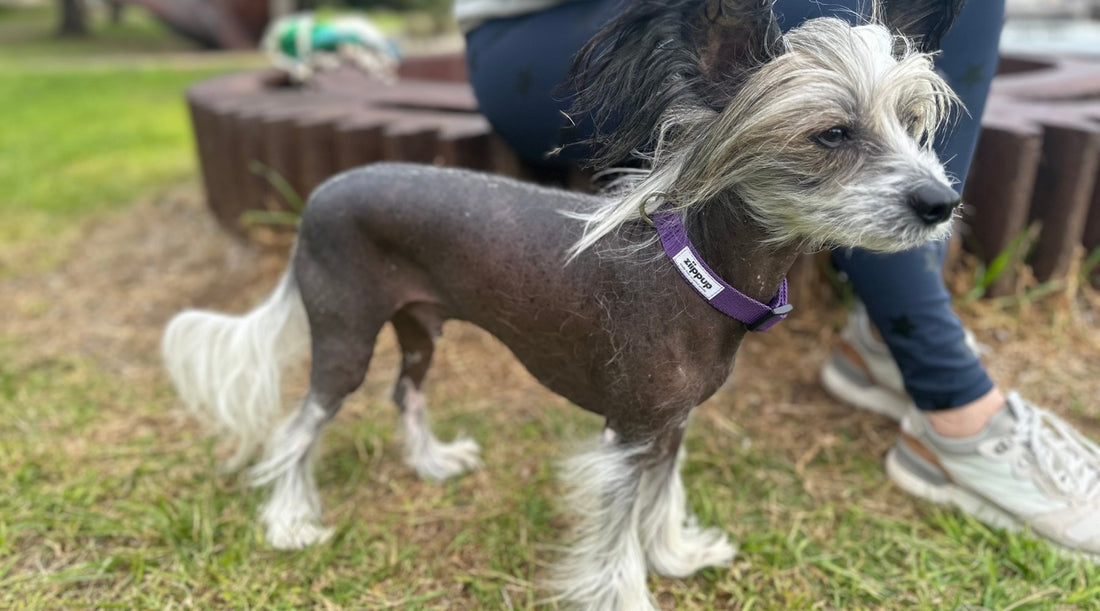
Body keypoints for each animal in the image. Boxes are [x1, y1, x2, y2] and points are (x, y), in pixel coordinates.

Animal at [160, 0, 963, 607]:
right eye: (832, 133)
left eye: (913, 125)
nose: (942, 203)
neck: (695, 272)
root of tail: (318, 196)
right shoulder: (628, 435)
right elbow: (616, 536)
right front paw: (632, 593)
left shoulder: (670, 427)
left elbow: (661, 501)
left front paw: (675, 555)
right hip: (344, 337)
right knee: (299, 426)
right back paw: (289, 522)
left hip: (419, 326)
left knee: (404, 390)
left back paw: (432, 461)